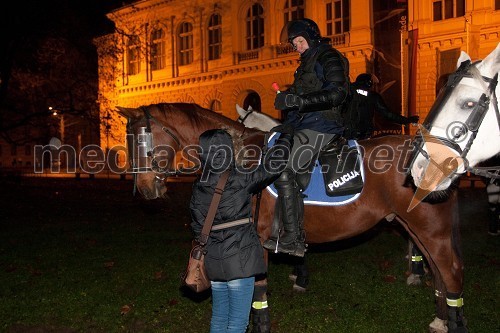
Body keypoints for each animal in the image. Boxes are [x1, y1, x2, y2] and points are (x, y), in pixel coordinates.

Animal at [118, 102, 464, 330]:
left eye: (143, 140)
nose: (144, 188)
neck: (236, 159)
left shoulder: (256, 242)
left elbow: (257, 290)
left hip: (431, 230)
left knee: (450, 272)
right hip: (417, 227)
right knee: (438, 272)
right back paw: (440, 318)